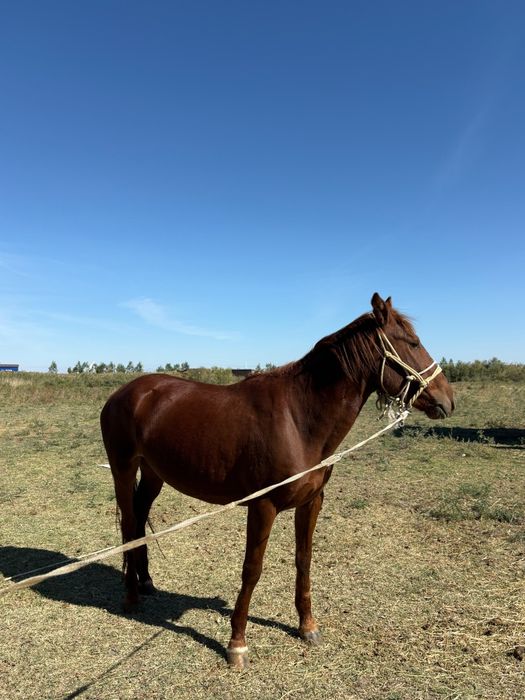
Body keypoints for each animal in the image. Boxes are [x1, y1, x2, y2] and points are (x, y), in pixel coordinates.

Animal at [100, 293, 454, 668]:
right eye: (412, 342)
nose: (448, 400)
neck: (298, 419)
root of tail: (124, 393)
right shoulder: (262, 506)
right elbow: (252, 569)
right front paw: (237, 644)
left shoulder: (312, 502)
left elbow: (304, 560)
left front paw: (307, 626)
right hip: (123, 469)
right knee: (129, 523)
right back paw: (131, 596)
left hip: (154, 473)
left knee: (139, 519)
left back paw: (146, 581)